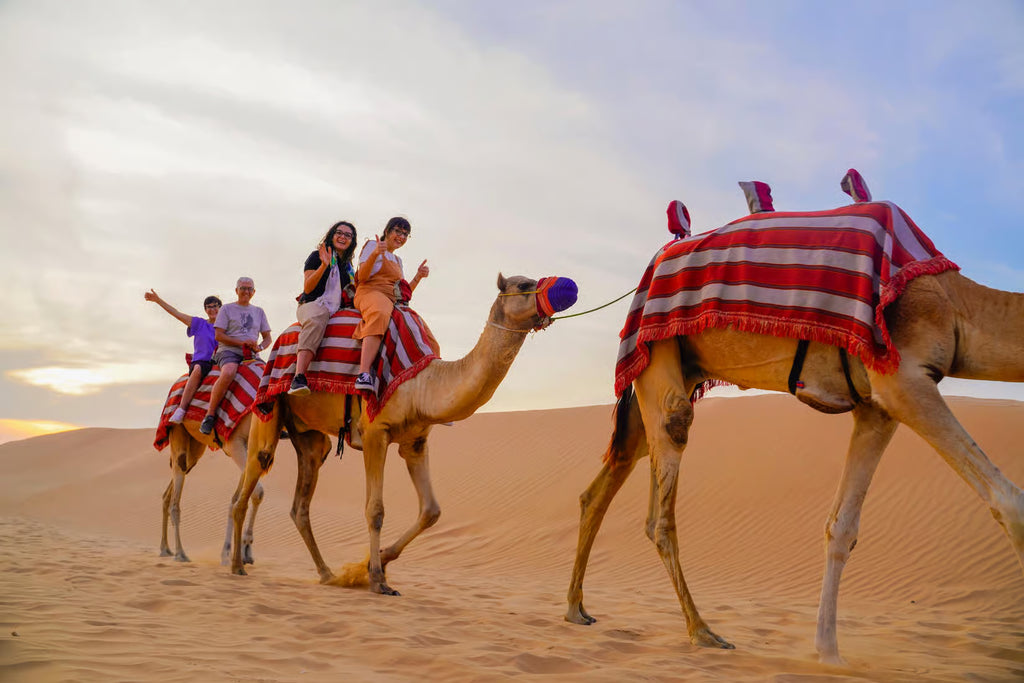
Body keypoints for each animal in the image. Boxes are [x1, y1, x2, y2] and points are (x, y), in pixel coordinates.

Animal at [160, 413, 265, 565]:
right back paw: (180, 554)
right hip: (178, 431)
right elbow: (257, 493)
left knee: (168, 493)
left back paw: (165, 549)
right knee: (175, 500)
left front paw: (232, 554)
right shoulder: (237, 444)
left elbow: (236, 500)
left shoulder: (250, 451)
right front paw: (243, 550)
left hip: (195, 447)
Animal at [229, 273, 576, 594]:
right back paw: (236, 566)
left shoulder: (415, 441)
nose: (568, 288)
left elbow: (432, 511)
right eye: (524, 285)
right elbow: (375, 510)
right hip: (269, 406)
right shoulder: (374, 432)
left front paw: (373, 563)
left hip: (311, 438)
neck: (424, 383)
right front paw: (377, 579)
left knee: (299, 506)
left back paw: (327, 574)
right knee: (250, 481)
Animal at [565, 269, 1024, 663]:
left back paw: (576, 609)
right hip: (661, 361)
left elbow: (842, 527)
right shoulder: (903, 379)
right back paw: (703, 631)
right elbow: (1010, 502)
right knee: (662, 496)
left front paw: (829, 653)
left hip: (668, 374)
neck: (953, 304)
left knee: (606, 481)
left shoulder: (876, 408)